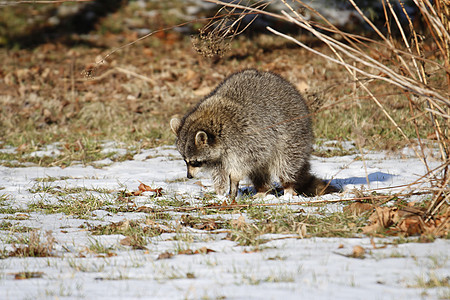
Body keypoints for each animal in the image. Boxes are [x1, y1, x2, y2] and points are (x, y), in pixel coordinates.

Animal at [170, 69, 338, 198]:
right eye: (185, 160)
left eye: (194, 162)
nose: (189, 176)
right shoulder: (218, 157)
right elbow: (220, 171)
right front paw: (221, 189)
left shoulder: (247, 140)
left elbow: (242, 165)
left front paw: (233, 181)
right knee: (259, 171)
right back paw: (262, 189)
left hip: (293, 134)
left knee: (287, 163)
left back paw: (288, 187)